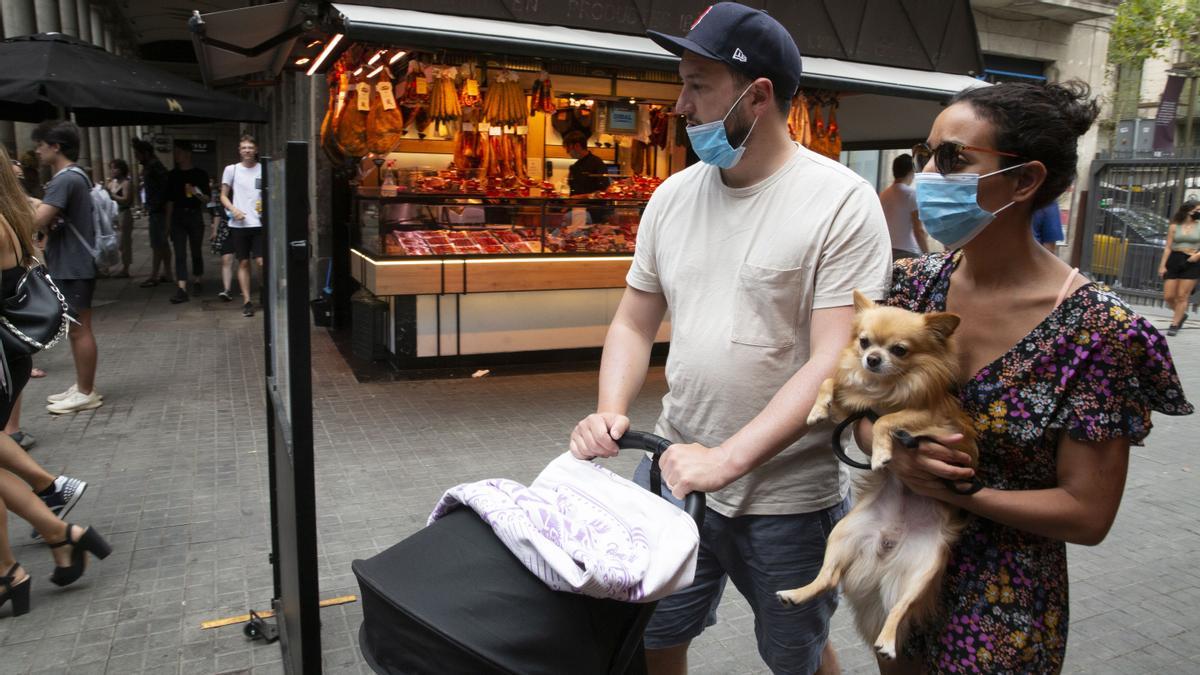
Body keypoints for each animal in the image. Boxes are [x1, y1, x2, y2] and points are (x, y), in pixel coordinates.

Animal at [777, 288, 974, 658]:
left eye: (899, 350)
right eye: (865, 342)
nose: (871, 359)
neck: (885, 387)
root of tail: (888, 544)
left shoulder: (936, 423)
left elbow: (888, 420)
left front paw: (884, 454)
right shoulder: (850, 413)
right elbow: (828, 382)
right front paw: (815, 410)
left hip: (925, 568)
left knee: (900, 607)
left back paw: (887, 641)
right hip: (841, 534)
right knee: (829, 578)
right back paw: (795, 594)